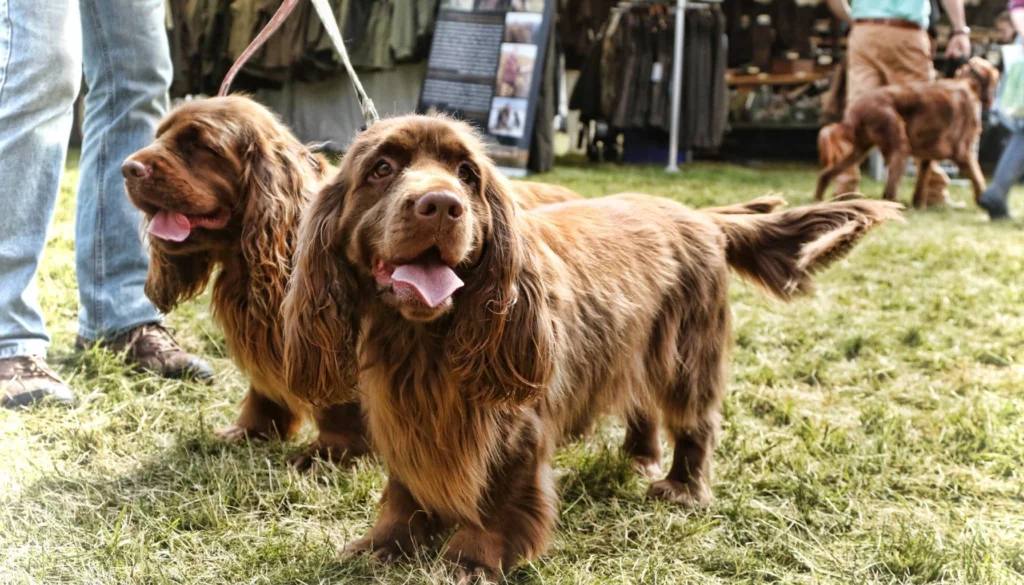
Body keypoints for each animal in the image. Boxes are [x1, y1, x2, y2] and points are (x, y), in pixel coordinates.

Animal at [815, 57, 999, 207]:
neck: (968, 84)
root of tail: (854, 112)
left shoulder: (926, 158)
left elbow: (921, 185)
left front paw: (919, 206)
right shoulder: (963, 153)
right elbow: (979, 179)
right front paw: (985, 202)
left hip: (859, 150)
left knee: (825, 175)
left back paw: (819, 202)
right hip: (900, 148)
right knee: (888, 193)